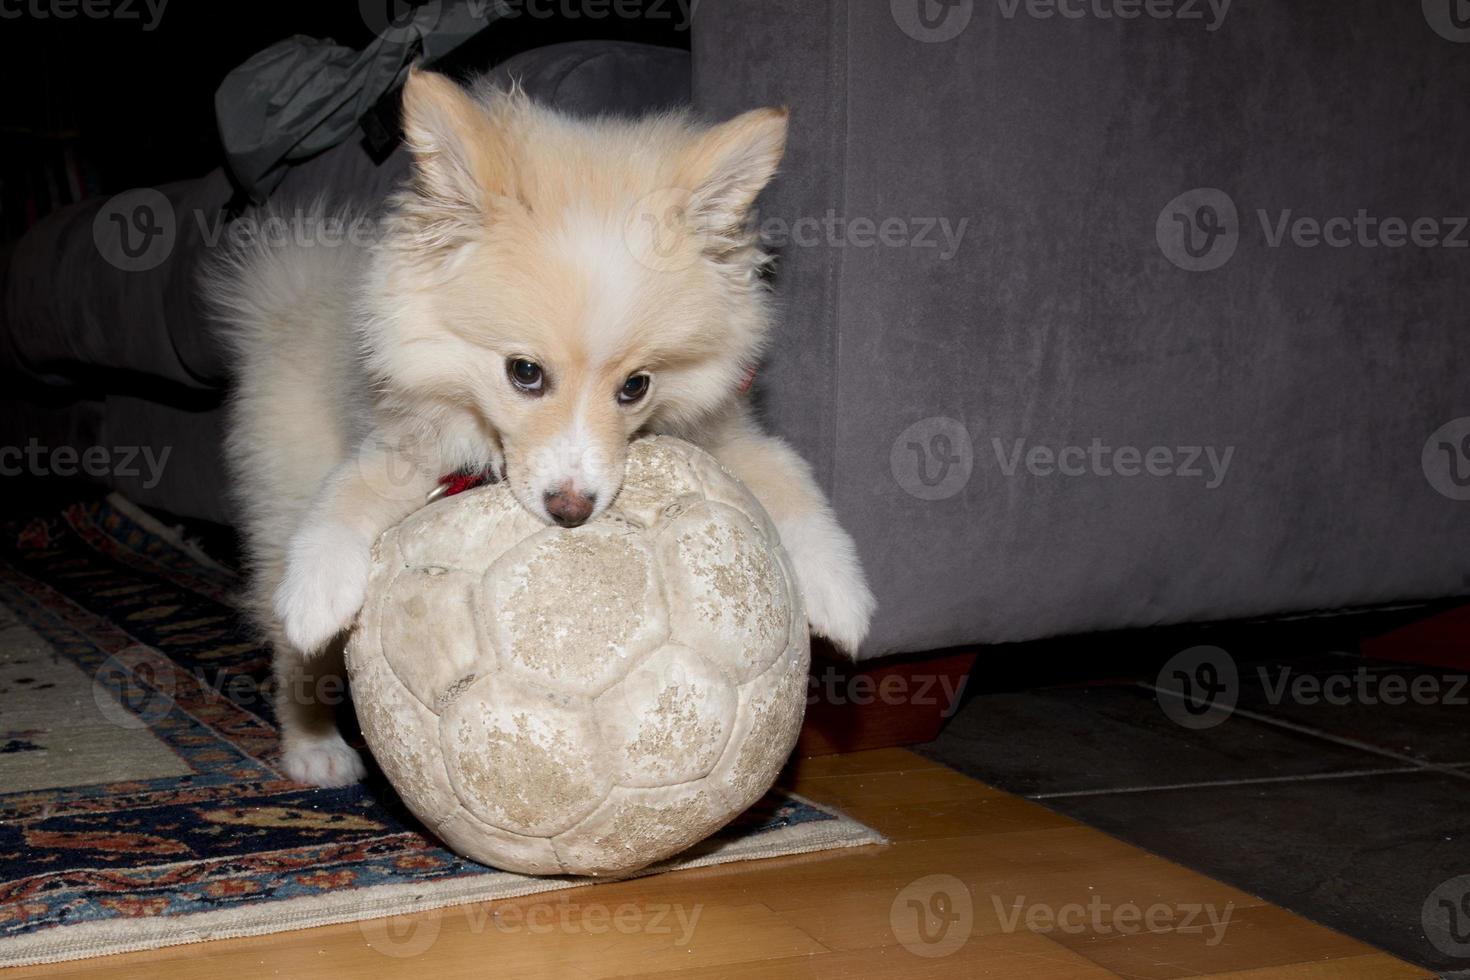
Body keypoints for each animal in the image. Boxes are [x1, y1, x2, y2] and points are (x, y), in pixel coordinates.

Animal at [207, 69, 870, 787]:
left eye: (636, 386)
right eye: (524, 372)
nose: (572, 510)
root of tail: (289, 298)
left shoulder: (725, 434)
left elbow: (790, 480)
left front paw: (840, 593)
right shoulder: (408, 442)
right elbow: (349, 491)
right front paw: (319, 588)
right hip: (280, 489)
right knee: (287, 642)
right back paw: (314, 745)